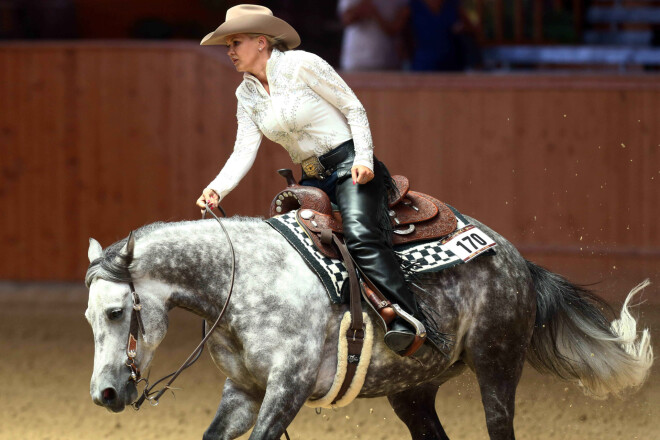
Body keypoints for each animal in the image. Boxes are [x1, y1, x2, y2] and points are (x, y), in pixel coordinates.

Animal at [85, 214, 652, 440]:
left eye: (116, 312)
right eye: (89, 317)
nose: (104, 394)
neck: (243, 278)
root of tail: (517, 261)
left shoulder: (287, 388)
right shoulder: (244, 391)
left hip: (497, 366)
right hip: (413, 391)